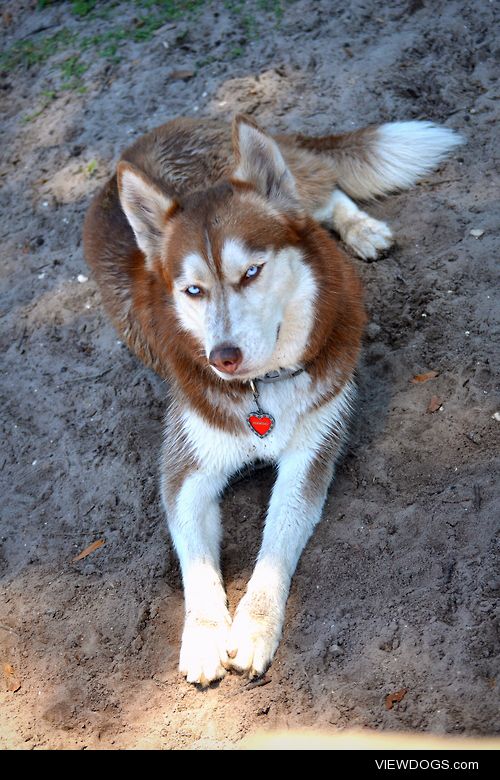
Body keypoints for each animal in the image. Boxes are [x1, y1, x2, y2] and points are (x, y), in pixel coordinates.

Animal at [83, 112, 460, 684]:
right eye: (193, 290)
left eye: (252, 272)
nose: (223, 357)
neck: (262, 390)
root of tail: (177, 123)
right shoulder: (185, 471)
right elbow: (197, 565)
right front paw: (204, 635)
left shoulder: (310, 453)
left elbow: (276, 545)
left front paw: (256, 626)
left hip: (295, 191)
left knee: (322, 197)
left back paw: (363, 229)